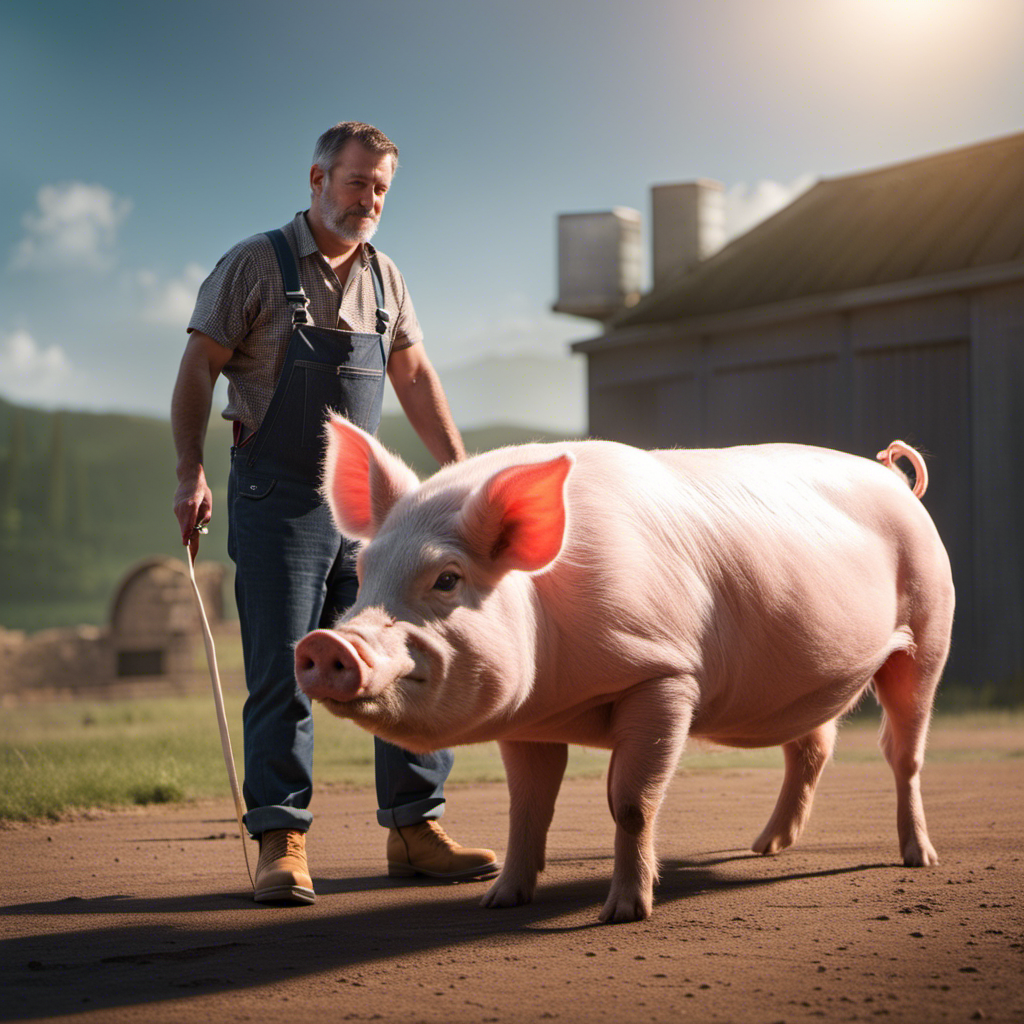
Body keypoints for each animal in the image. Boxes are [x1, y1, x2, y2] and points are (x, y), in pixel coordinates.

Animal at [294, 413, 950, 921]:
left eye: (447, 579)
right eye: (365, 574)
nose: (326, 642)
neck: (561, 688)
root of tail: (894, 478)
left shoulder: (664, 674)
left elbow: (631, 802)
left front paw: (624, 913)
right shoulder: (530, 722)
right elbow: (527, 808)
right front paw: (498, 901)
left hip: (928, 632)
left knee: (904, 752)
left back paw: (919, 857)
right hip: (804, 683)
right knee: (813, 746)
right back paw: (764, 848)